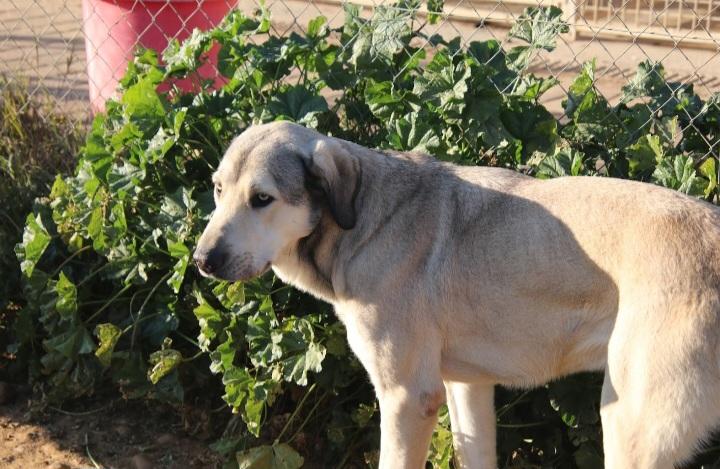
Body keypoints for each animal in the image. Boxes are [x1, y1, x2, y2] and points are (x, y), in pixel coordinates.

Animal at [194, 121, 720, 468]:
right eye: (218, 190)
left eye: (262, 199)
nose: (201, 260)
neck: (362, 221)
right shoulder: (466, 388)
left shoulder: (408, 397)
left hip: (629, 428)